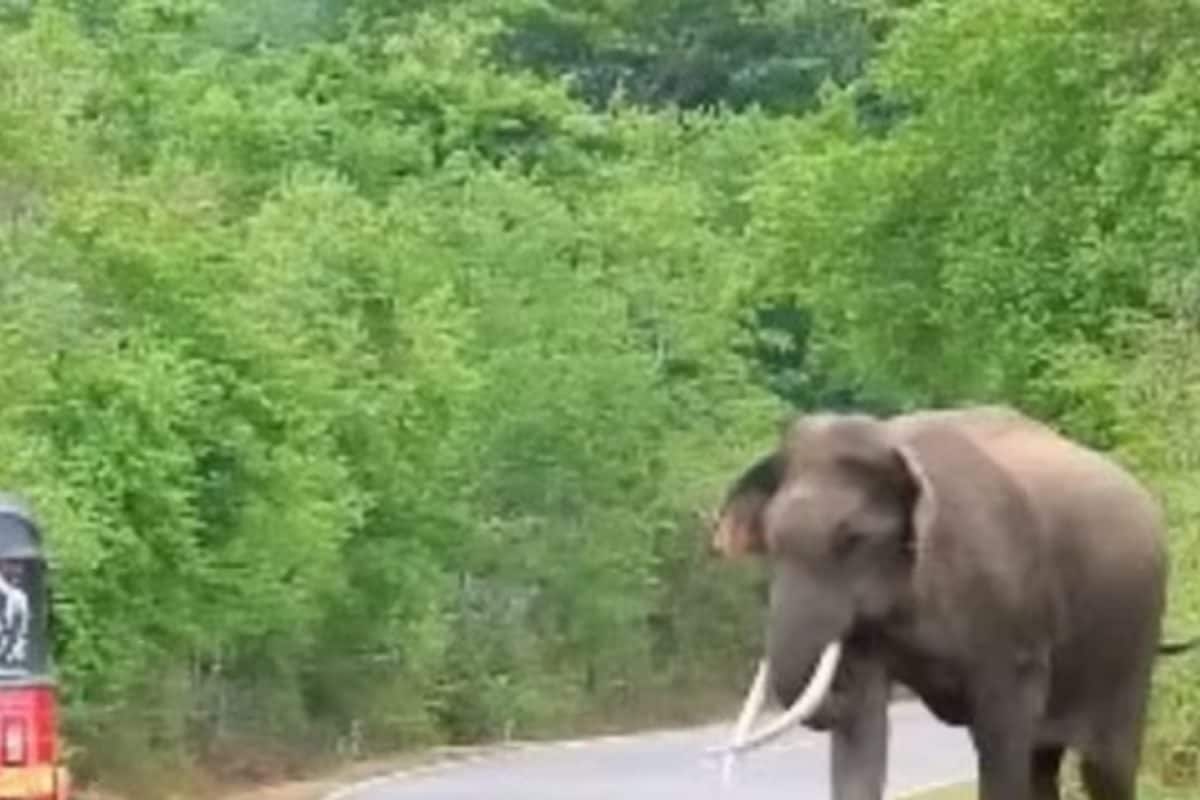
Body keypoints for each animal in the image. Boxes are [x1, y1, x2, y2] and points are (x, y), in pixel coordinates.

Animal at [708, 405, 1196, 800]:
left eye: (853, 539)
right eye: (770, 542)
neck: (894, 441)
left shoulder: (1011, 622)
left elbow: (1002, 738)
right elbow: (862, 734)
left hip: (1133, 641)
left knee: (1106, 767)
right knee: (1044, 762)